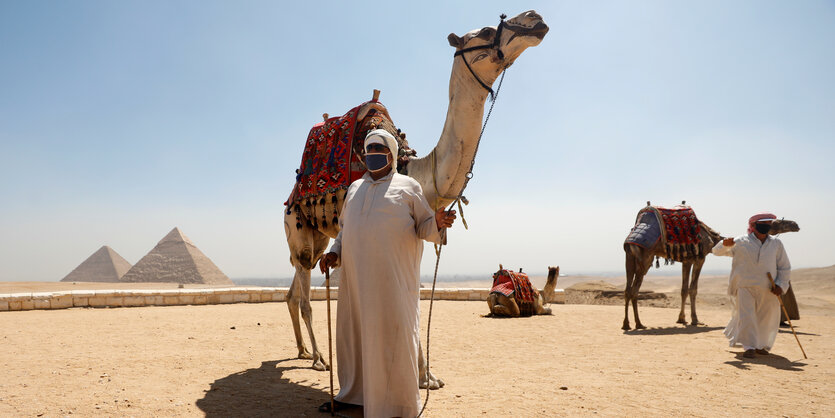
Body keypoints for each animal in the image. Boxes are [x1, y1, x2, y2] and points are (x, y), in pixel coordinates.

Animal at [284, 9, 552, 388]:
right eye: (487, 30)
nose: (535, 18)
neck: (418, 171)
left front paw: (427, 375)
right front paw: (424, 379)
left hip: (318, 238)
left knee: (294, 290)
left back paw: (303, 352)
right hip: (299, 231)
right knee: (305, 292)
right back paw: (320, 359)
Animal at [624, 204, 800, 332]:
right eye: (776, 222)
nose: (796, 224)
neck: (712, 237)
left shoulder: (687, 260)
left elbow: (683, 289)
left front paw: (682, 319)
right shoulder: (700, 258)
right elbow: (693, 289)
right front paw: (695, 320)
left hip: (629, 257)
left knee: (627, 289)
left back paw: (626, 324)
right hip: (645, 257)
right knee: (634, 290)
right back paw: (639, 324)